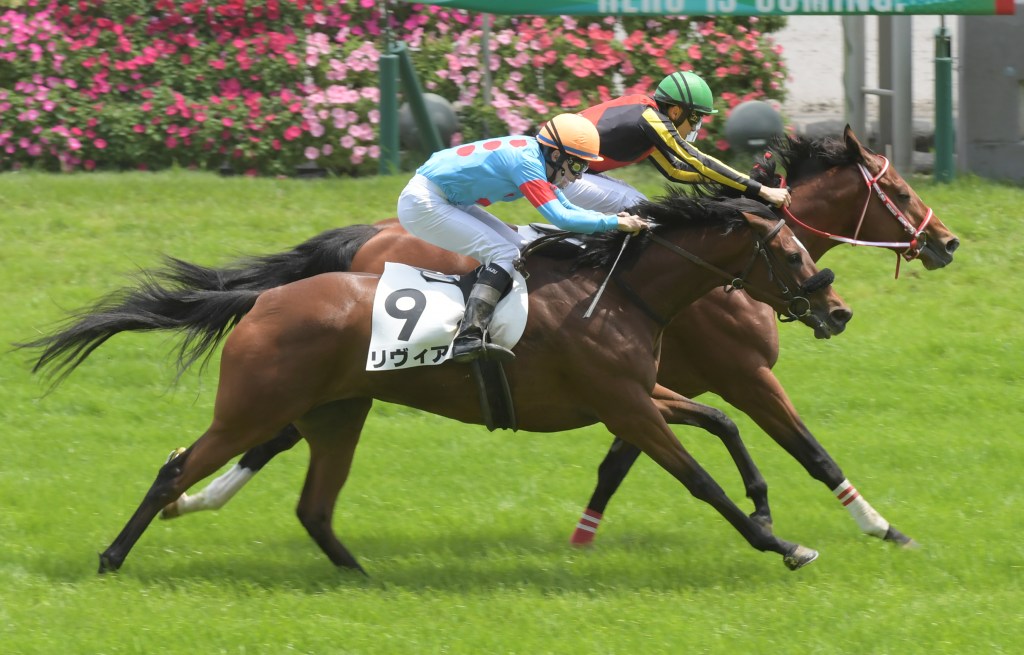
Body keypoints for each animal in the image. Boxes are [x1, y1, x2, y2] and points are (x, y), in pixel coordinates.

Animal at [21, 194, 852, 575]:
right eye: (789, 252)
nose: (837, 309)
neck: (620, 289)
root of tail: (263, 299)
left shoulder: (635, 397)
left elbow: (723, 422)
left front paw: (767, 505)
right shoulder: (626, 405)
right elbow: (700, 477)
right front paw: (782, 541)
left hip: (337, 412)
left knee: (313, 506)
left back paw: (364, 576)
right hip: (254, 406)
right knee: (177, 467)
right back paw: (112, 556)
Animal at [150, 126, 957, 547]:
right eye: (900, 190)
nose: (945, 242)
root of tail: (363, 238)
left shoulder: (651, 384)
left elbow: (634, 454)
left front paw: (590, 530)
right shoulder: (742, 374)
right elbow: (807, 449)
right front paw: (880, 524)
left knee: (279, 434)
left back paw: (194, 499)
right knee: (268, 434)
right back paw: (192, 499)